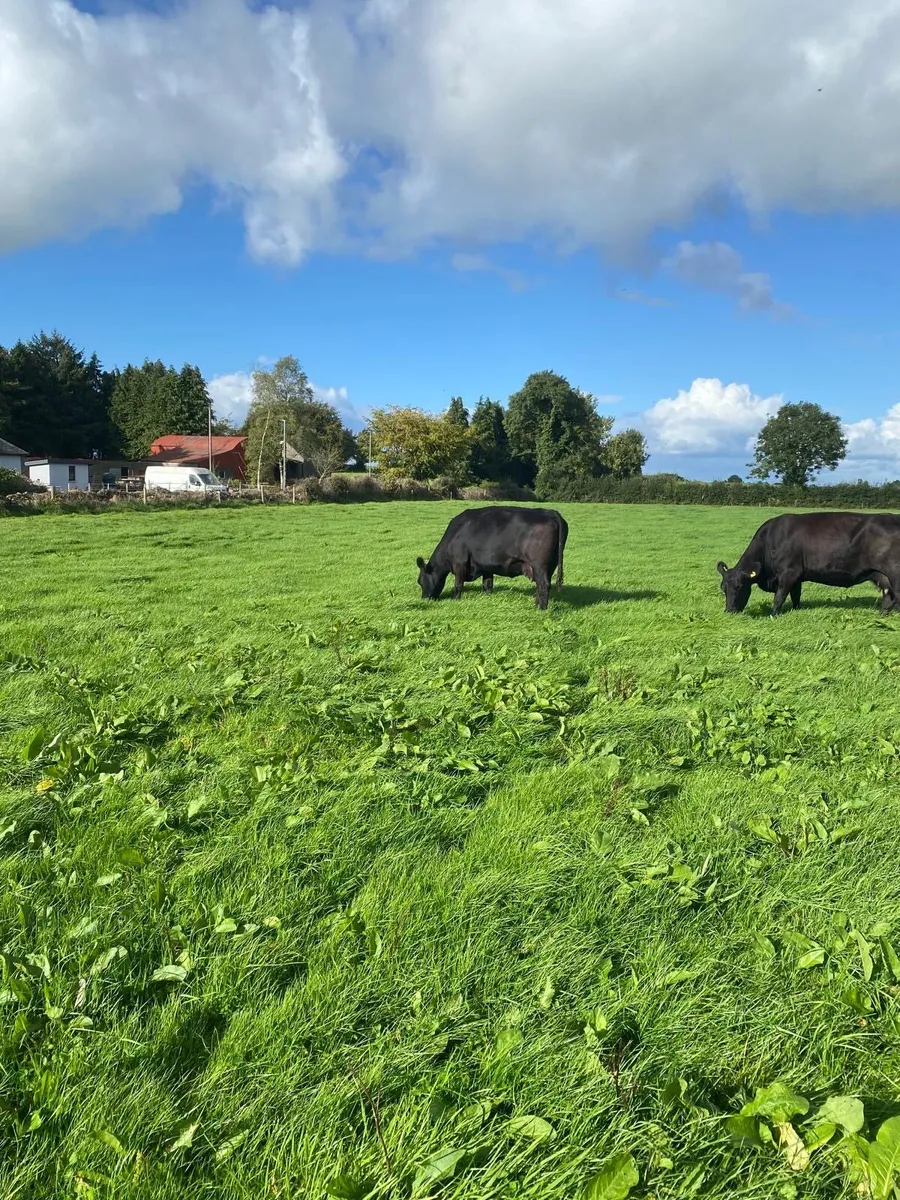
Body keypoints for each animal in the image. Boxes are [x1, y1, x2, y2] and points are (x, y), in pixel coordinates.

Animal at [416, 506, 568, 609]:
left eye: (420, 581)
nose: (424, 599)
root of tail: (549, 512)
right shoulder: (486, 566)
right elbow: (487, 584)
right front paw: (487, 598)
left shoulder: (459, 563)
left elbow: (458, 584)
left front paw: (456, 600)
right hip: (549, 566)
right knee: (540, 586)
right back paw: (536, 604)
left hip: (539, 566)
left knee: (543, 585)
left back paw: (540, 609)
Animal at [716, 511, 900, 616]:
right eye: (723, 588)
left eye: (740, 586)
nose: (729, 611)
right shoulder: (797, 576)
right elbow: (795, 595)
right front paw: (796, 610)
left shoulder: (788, 572)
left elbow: (780, 596)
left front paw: (773, 614)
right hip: (882, 575)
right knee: (888, 596)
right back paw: (881, 614)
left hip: (895, 573)